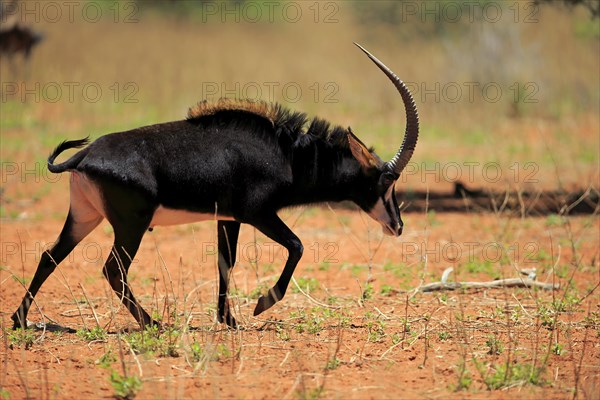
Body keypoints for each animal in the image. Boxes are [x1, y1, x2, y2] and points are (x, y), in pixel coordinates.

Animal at [11, 44, 420, 332]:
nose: (398, 225)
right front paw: (261, 304)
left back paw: (19, 319)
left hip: (84, 216)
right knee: (113, 269)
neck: (287, 154)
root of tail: (84, 156)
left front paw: (229, 320)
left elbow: (225, 261)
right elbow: (297, 245)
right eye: (385, 180)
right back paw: (153, 324)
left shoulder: (228, 218)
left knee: (50, 256)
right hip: (132, 223)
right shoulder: (256, 213)